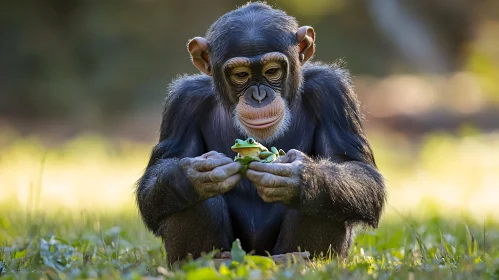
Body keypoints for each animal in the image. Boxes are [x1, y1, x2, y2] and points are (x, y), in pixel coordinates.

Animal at [137, 2, 386, 262]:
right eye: (241, 75)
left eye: (272, 71)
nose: (258, 96)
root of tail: (257, 258)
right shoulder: (183, 102)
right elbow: (156, 177)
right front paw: (194, 174)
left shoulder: (333, 92)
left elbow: (359, 170)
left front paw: (299, 175)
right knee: (197, 201)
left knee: (321, 204)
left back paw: (301, 260)